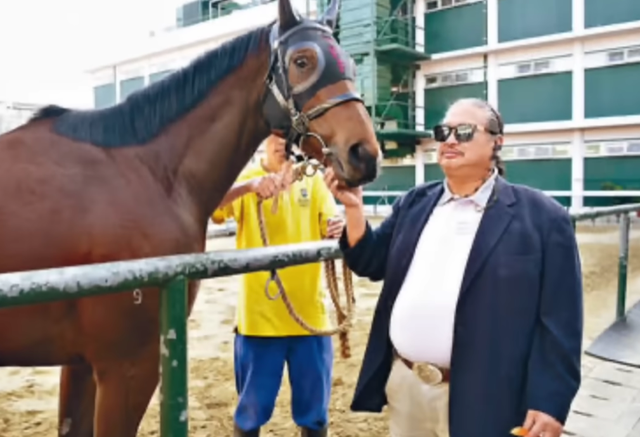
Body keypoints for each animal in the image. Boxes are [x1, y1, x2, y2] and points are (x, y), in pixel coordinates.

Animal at [0, 0, 380, 432]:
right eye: (302, 61)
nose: (364, 153)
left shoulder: (79, 363)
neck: (147, 170)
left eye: (352, 65)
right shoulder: (126, 365)